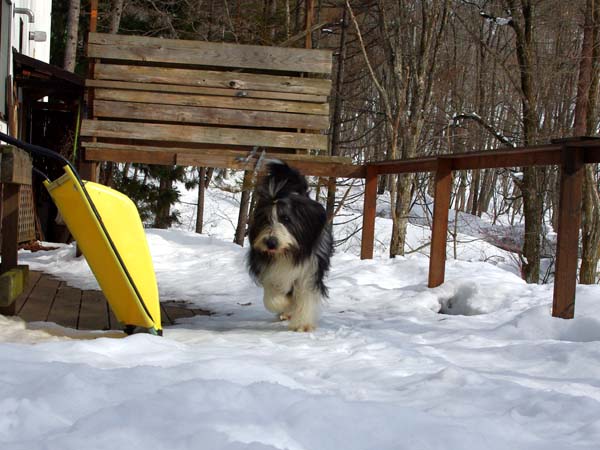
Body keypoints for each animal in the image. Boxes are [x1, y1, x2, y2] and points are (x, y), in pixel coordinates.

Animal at [247, 161, 333, 331]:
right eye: (265, 219)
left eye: (286, 218)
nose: (271, 242)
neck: (287, 253)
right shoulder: (269, 269)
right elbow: (272, 297)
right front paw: (285, 305)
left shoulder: (310, 269)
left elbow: (305, 294)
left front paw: (302, 325)